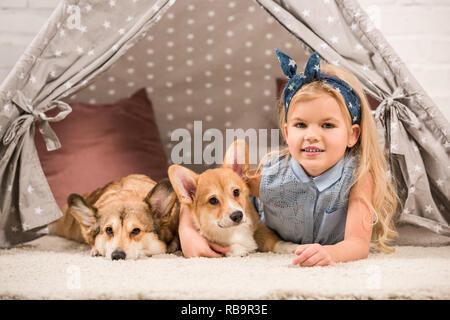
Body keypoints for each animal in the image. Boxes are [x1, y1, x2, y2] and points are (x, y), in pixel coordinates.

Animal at [165, 140, 298, 258]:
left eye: (236, 192)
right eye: (213, 200)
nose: (237, 215)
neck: (235, 231)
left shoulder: (260, 228)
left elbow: (274, 242)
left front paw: (291, 247)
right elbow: (225, 246)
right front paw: (238, 250)